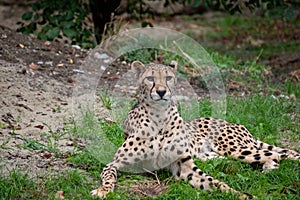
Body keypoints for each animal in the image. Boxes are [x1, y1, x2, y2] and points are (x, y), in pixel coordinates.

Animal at [92, 61, 300, 198]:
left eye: (168, 78)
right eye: (150, 78)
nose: (161, 91)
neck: (159, 118)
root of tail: (236, 124)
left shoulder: (182, 164)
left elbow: (214, 181)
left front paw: (239, 194)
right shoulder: (115, 163)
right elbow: (109, 175)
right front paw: (103, 190)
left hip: (235, 149)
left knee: (282, 153)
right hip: (217, 154)